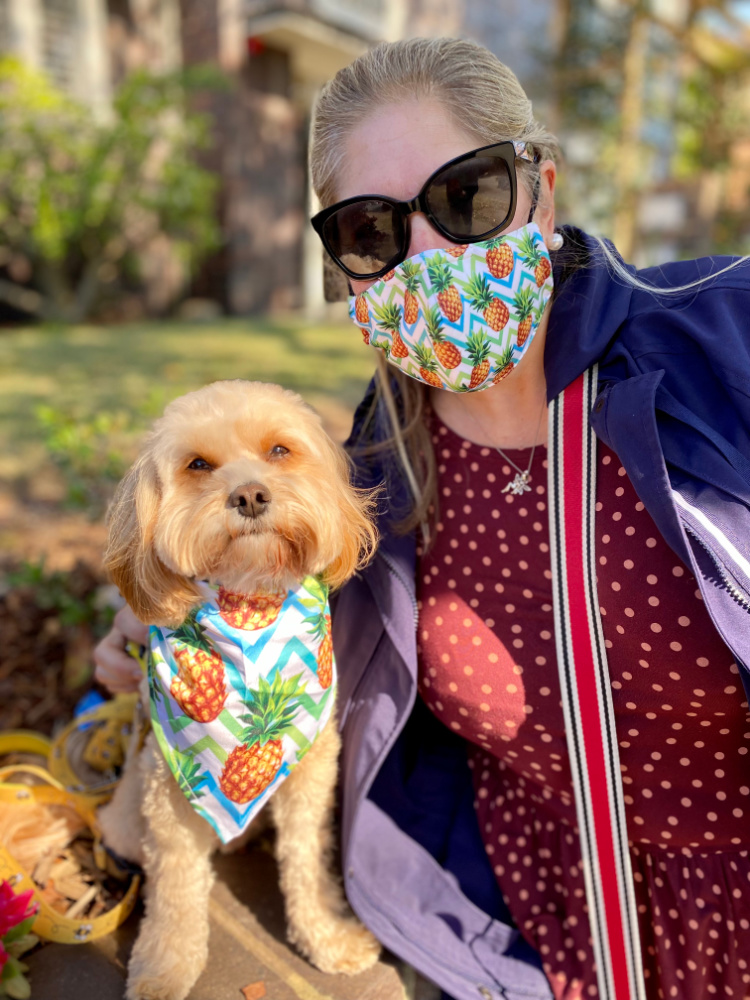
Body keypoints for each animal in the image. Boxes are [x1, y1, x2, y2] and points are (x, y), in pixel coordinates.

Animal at [96, 380, 382, 1000]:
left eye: (279, 450)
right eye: (198, 465)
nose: (250, 496)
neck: (249, 611)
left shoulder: (311, 773)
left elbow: (306, 860)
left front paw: (326, 938)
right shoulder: (167, 793)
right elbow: (176, 889)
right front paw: (165, 968)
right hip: (125, 819)